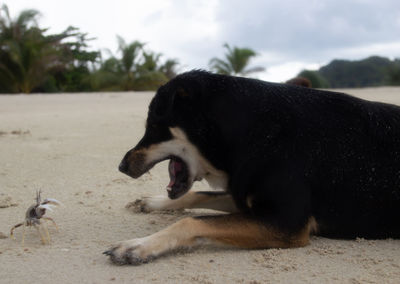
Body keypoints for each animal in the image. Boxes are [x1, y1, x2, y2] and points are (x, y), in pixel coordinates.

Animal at [104, 70, 400, 266]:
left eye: (154, 127)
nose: (121, 165)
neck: (251, 131)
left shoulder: (286, 222)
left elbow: (191, 221)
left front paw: (139, 245)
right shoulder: (245, 196)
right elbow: (198, 196)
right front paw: (152, 202)